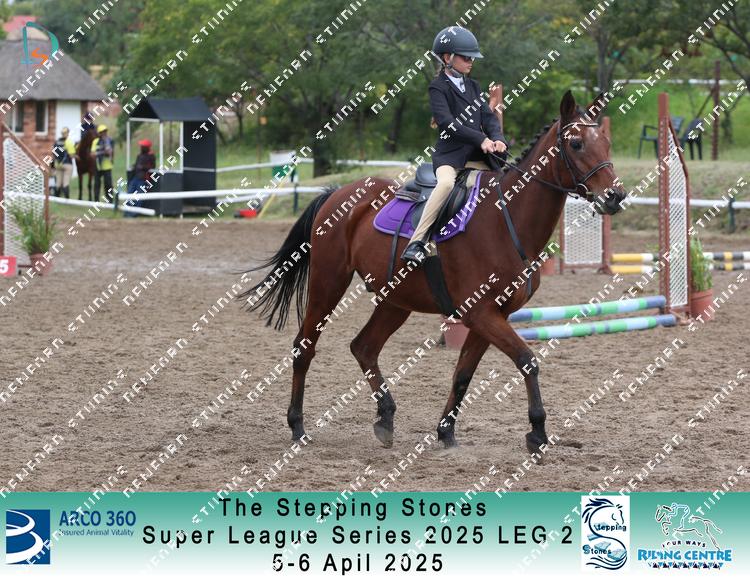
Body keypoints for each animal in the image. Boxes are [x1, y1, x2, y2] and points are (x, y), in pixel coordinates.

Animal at [240, 91, 626, 454]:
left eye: (606, 143)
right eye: (576, 144)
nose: (616, 196)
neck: (507, 219)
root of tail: (338, 193)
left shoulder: (491, 316)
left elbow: (463, 374)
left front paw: (446, 433)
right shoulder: (481, 313)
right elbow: (527, 361)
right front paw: (537, 433)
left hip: (396, 300)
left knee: (364, 347)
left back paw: (385, 419)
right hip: (328, 284)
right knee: (304, 347)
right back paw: (298, 426)